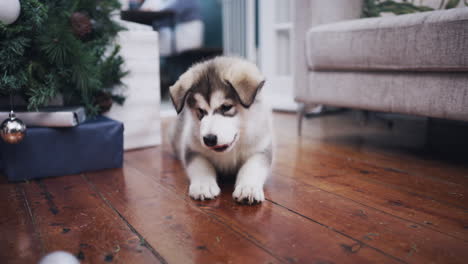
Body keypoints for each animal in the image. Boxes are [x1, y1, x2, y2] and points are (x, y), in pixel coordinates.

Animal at [168, 56, 272, 204]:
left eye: (226, 107)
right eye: (201, 111)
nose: (209, 139)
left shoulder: (261, 149)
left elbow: (252, 168)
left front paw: (248, 188)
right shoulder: (192, 149)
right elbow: (200, 166)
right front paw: (203, 185)